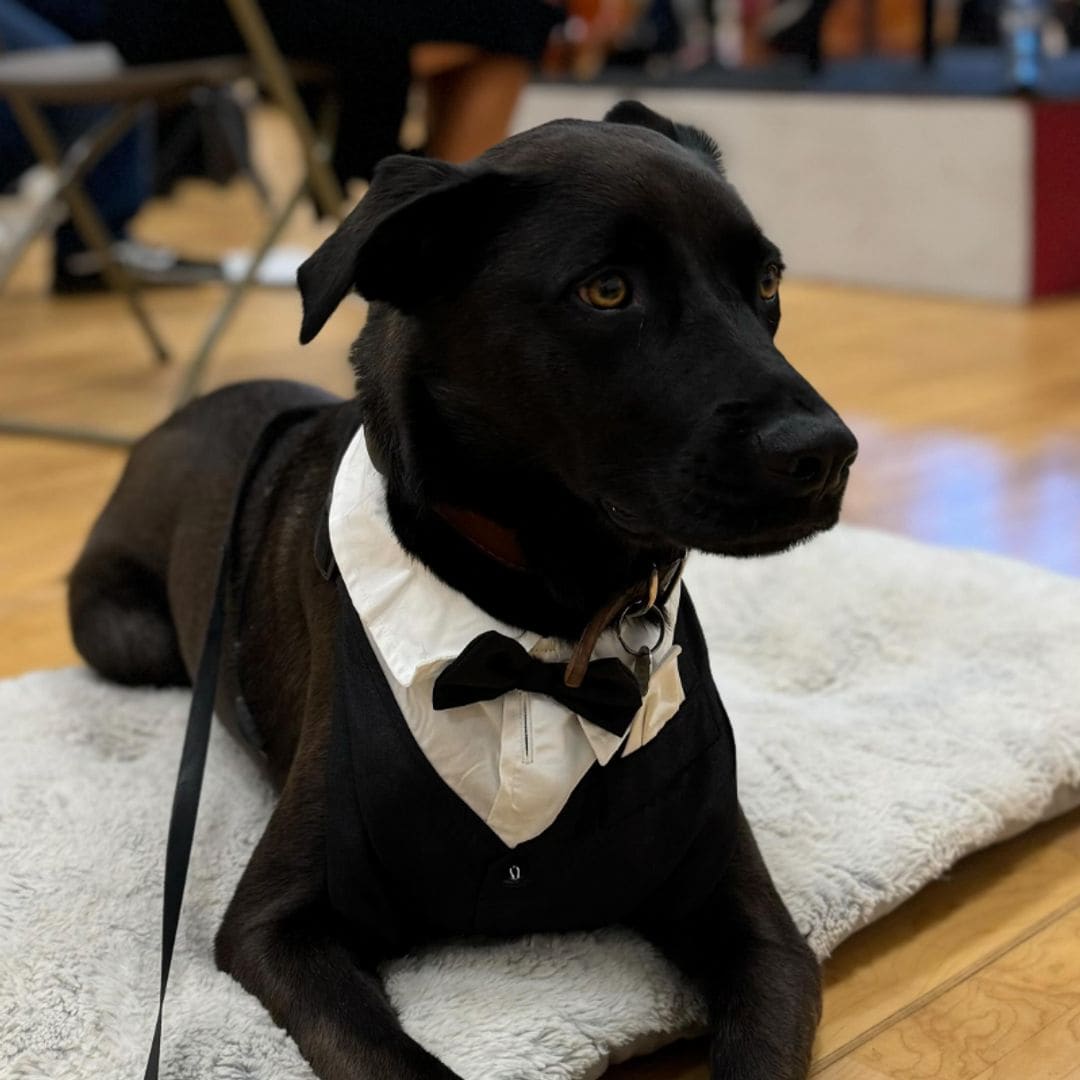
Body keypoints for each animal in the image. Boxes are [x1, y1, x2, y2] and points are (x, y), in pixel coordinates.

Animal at [71, 103, 855, 1080]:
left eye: (768, 281)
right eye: (608, 291)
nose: (826, 454)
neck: (546, 622)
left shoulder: (748, 916)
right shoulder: (275, 925)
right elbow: (394, 1058)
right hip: (130, 640)